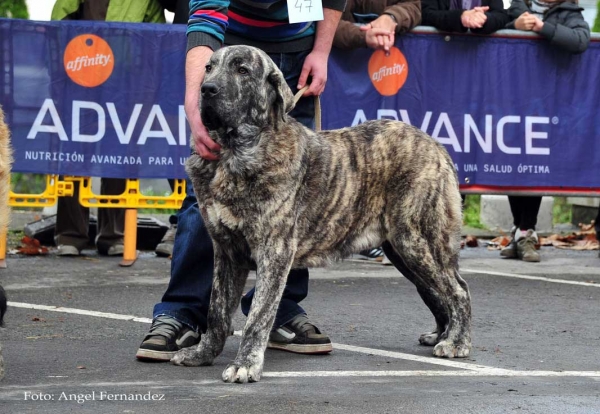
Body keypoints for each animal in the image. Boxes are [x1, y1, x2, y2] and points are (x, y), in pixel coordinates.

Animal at [173, 45, 474, 382]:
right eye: (209, 68)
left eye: (242, 70)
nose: (206, 89)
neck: (236, 152)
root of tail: (436, 144)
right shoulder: (227, 251)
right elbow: (217, 311)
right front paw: (202, 354)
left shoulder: (274, 252)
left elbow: (258, 316)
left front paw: (245, 364)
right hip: (402, 250)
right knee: (436, 290)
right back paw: (442, 334)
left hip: (417, 241)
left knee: (458, 290)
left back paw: (456, 342)